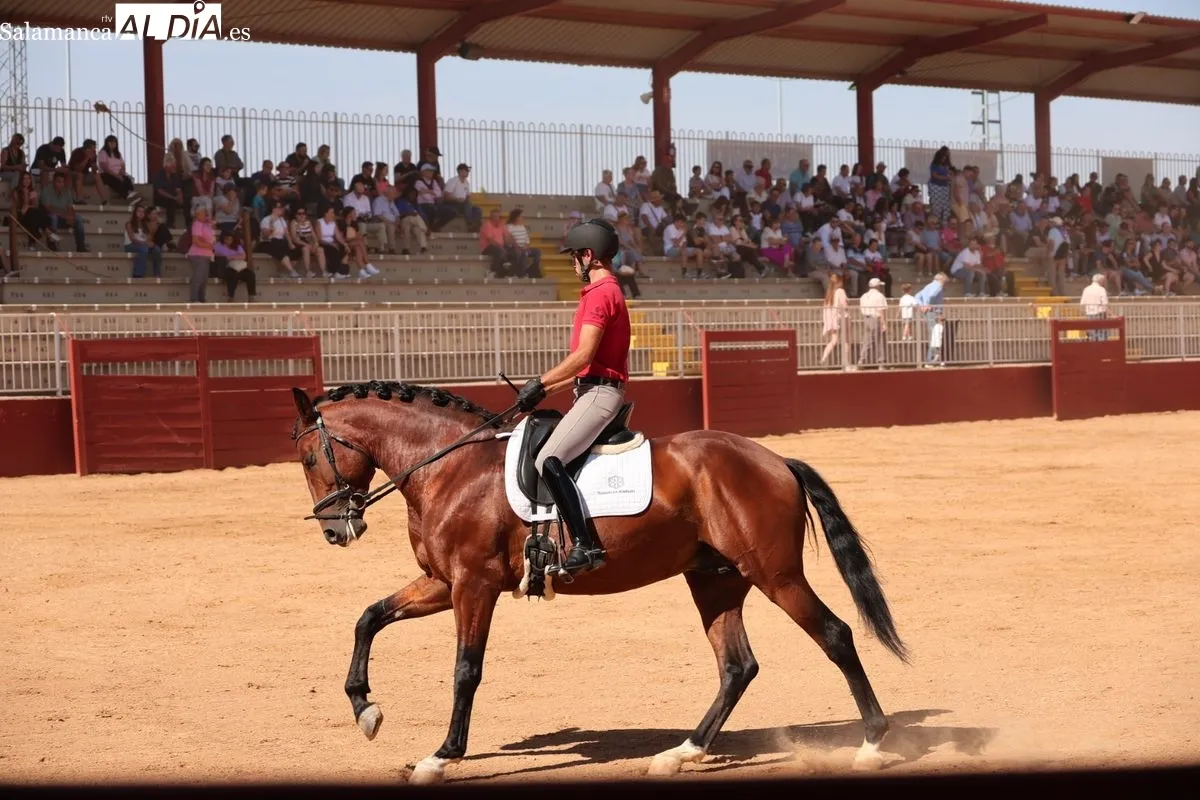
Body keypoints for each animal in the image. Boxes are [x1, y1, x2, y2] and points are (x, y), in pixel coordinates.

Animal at [288, 380, 908, 784]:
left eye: (308, 456)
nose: (335, 529)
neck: (449, 467)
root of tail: (776, 460)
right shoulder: (442, 582)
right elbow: (369, 617)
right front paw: (365, 710)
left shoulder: (473, 586)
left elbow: (466, 671)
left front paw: (441, 756)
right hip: (716, 580)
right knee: (737, 666)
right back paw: (681, 753)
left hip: (775, 574)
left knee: (835, 636)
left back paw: (872, 744)